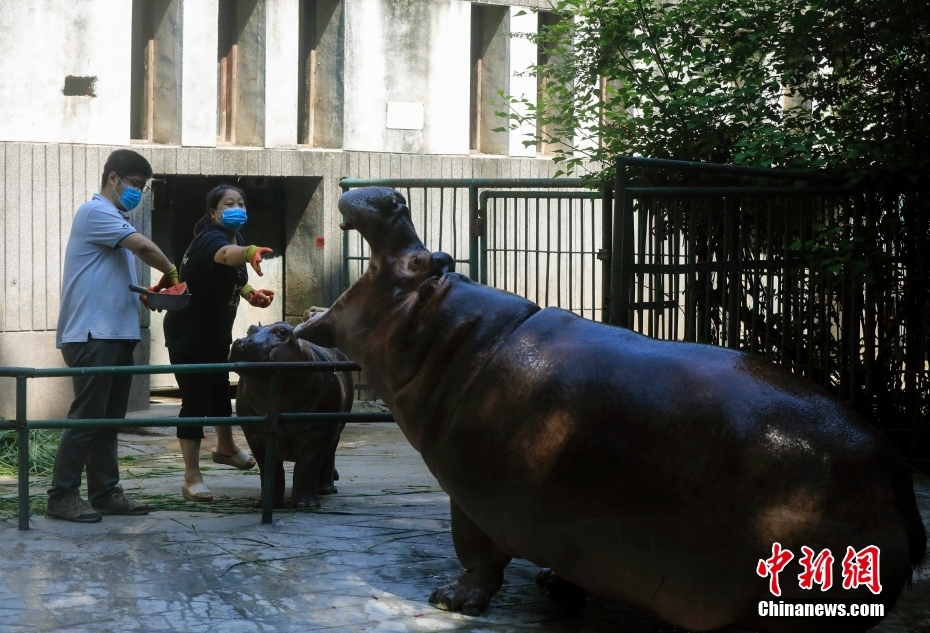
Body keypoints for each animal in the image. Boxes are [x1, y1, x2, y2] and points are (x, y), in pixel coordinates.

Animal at [227, 320, 352, 508]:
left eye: (283, 332)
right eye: (250, 329)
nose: (242, 342)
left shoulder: (319, 433)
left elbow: (307, 466)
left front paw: (306, 505)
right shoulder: (256, 436)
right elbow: (270, 469)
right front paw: (267, 503)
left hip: (335, 431)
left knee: (329, 456)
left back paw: (326, 489)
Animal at [294, 186, 924, 632]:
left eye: (419, 262)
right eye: (440, 255)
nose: (394, 199)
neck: (450, 338)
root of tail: (890, 464)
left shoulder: (469, 491)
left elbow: (477, 556)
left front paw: (450, 599)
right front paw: (555, 584)